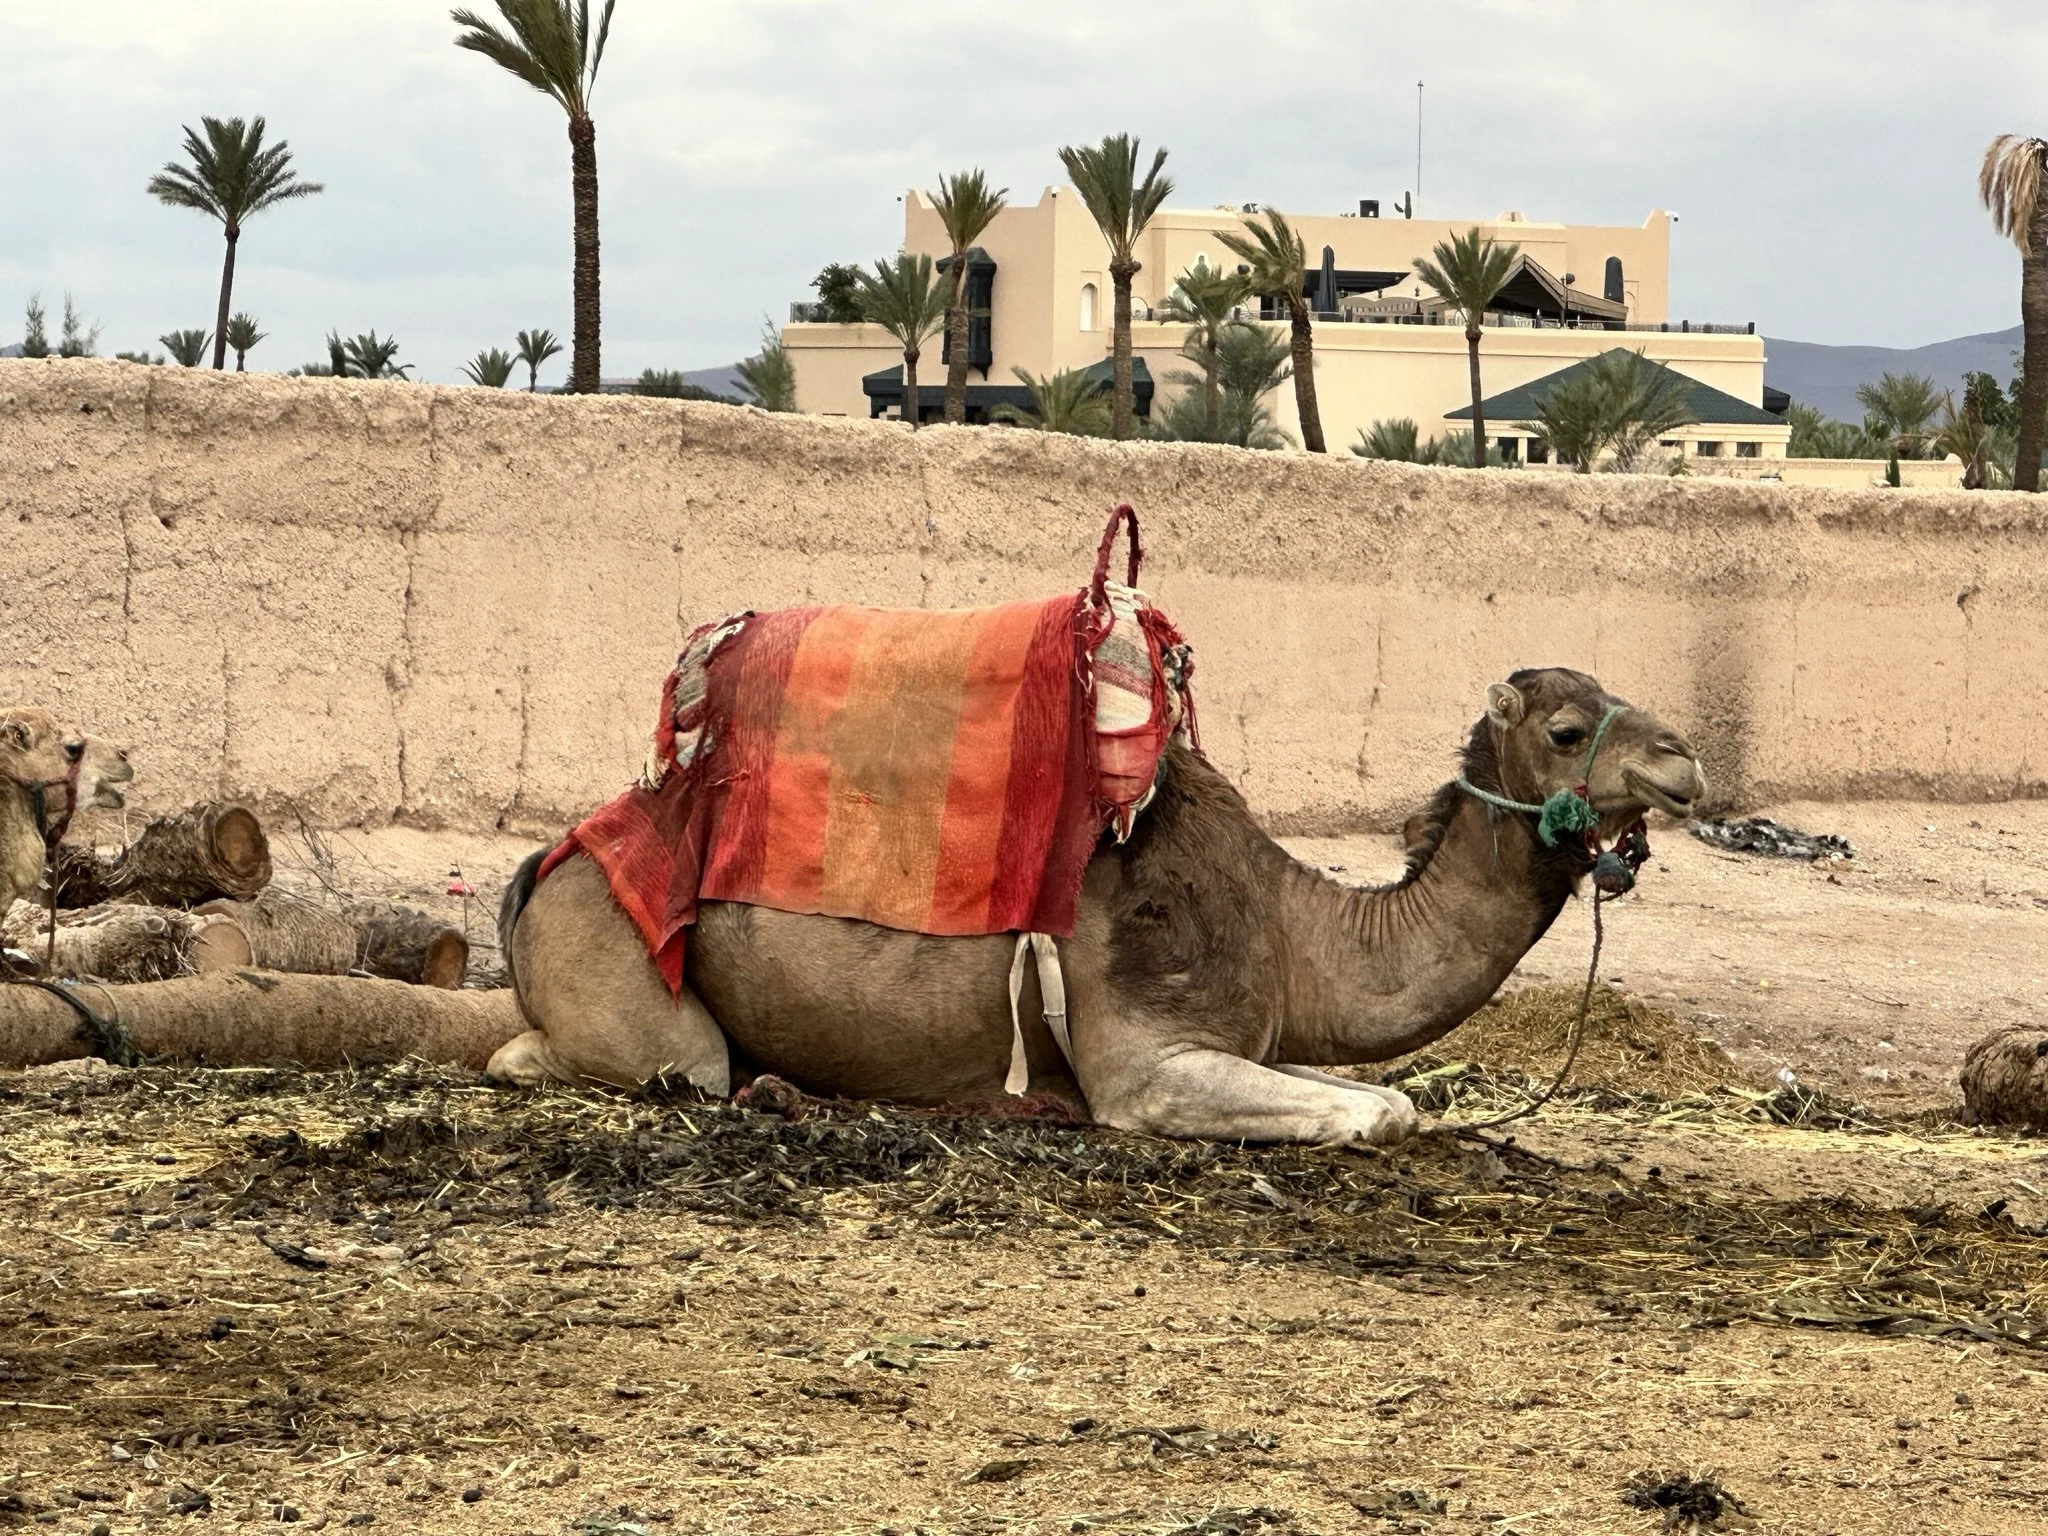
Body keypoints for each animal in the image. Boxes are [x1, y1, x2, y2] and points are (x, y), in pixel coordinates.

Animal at [491, 668, 1703, 1145]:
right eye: (1566, 729)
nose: (1683, 760)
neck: (1289, 923)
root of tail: (550, 859)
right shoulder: (1149, 1062)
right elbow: (1382, 1111)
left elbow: (1383, 1096)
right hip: (622, 961)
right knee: (634, 1060)